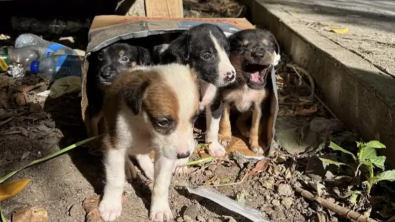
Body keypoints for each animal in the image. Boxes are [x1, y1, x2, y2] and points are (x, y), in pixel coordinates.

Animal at [99, 63, 201, 221]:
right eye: (163, 122)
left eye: (195, 118)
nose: (185, 155)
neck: (145, 127)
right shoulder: (114, 147)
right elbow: (116, 179)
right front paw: (111, 205)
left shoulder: (166, 153)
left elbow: (161, 184)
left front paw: (160, 209)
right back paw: (128, 167)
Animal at [159, 23, 238, 157]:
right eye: (206, 56)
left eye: (227, 51)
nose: (231, 75)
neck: (201, 83)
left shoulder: (215, 103)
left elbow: (213, 128)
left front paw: (214, 147)